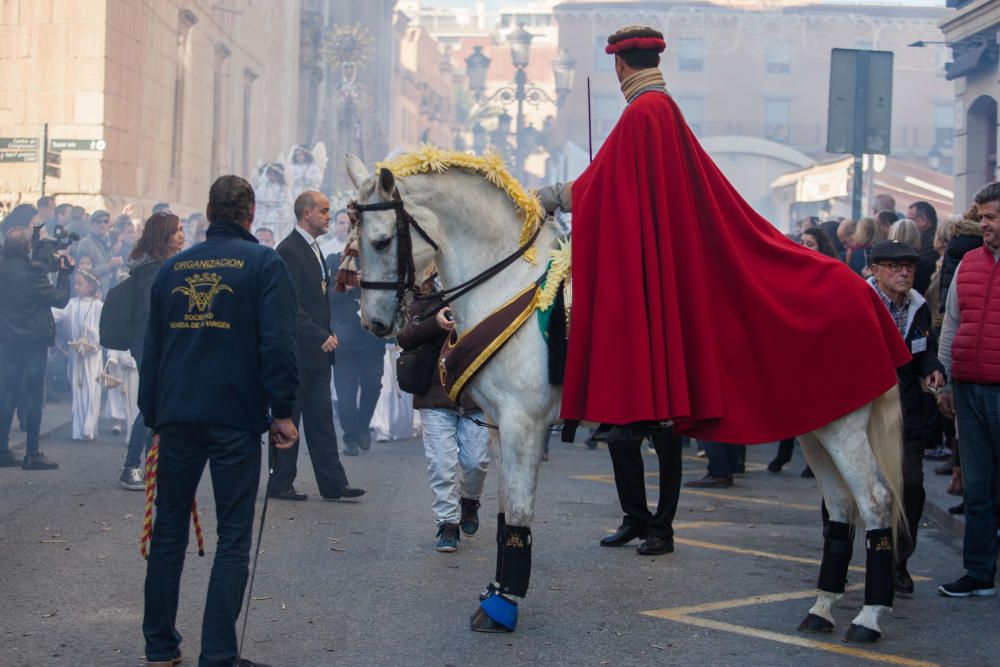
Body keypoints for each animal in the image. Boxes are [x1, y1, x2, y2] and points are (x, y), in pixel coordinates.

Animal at [344, 154, 908, 644]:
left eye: (380, 239)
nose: (372, 324)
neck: (510, 286)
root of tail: (866, 290)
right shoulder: (503, 428)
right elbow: (506, 511)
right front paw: (496, 590)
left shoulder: (525, 424)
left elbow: (521, 511)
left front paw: (503, 606)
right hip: (816, 421)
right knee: (842, 506)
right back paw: (821, 608)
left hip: (841, 426)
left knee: (875, 501)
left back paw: (869, 617)